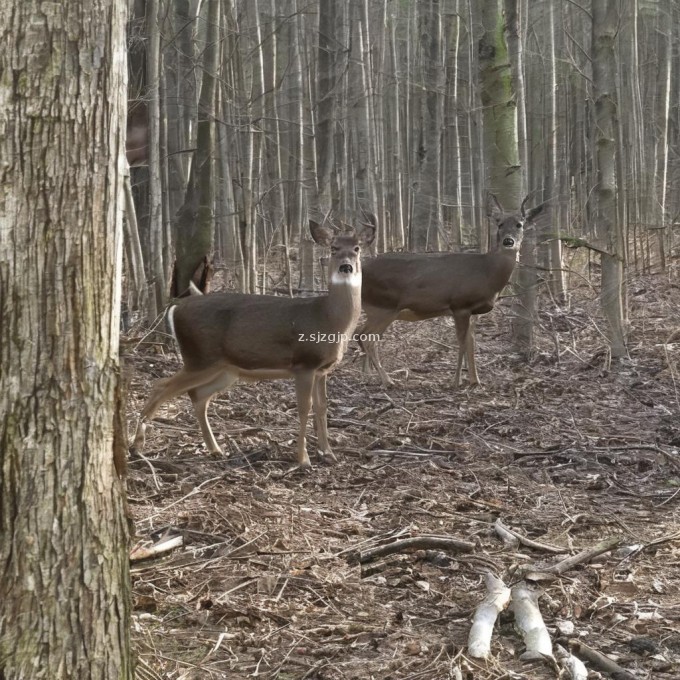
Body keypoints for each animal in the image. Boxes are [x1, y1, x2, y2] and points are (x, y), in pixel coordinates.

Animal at [133, 218, 378, 468]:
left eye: (357, 248)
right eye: (333, 248)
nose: (346, 267)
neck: (329, 319)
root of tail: (176, 308)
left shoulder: (322, 369)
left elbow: (322, 407)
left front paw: (328, 453)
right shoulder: (304, 364)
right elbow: (304, 408)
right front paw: (303, 458)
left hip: (224, 369)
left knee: (198, 395)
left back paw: (215, 449)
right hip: (199, 357)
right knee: (161, 386)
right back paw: (137, 447)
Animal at [358, 197, 544, 388]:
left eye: (519, 224)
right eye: (499, 224)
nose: (508, 241)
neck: (487, 273)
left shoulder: (474, 312)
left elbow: (471, 343)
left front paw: (475, 380)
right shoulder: (460, 305)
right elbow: (461, 343)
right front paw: (456, 381)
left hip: (377, 309)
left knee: (362, 335)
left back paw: (371, 375)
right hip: (384, 306)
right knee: (366, 338)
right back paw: (387, 379)